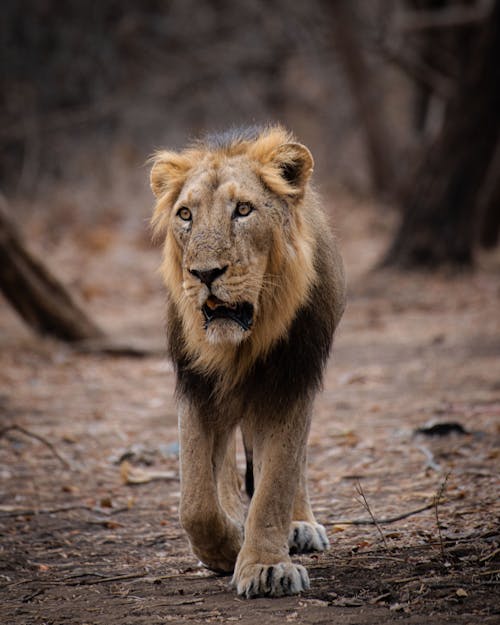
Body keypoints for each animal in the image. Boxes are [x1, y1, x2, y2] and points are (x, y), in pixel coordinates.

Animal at [150, 124, 346, 596]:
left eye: (243, 210)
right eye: (186, 215)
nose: (205, 273)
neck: (239, 345)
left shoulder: (293, 379)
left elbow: (277, 480)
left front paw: (265, 566)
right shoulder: (197, 385)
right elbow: (196, 502)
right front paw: (225, 548)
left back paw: (299, 526)